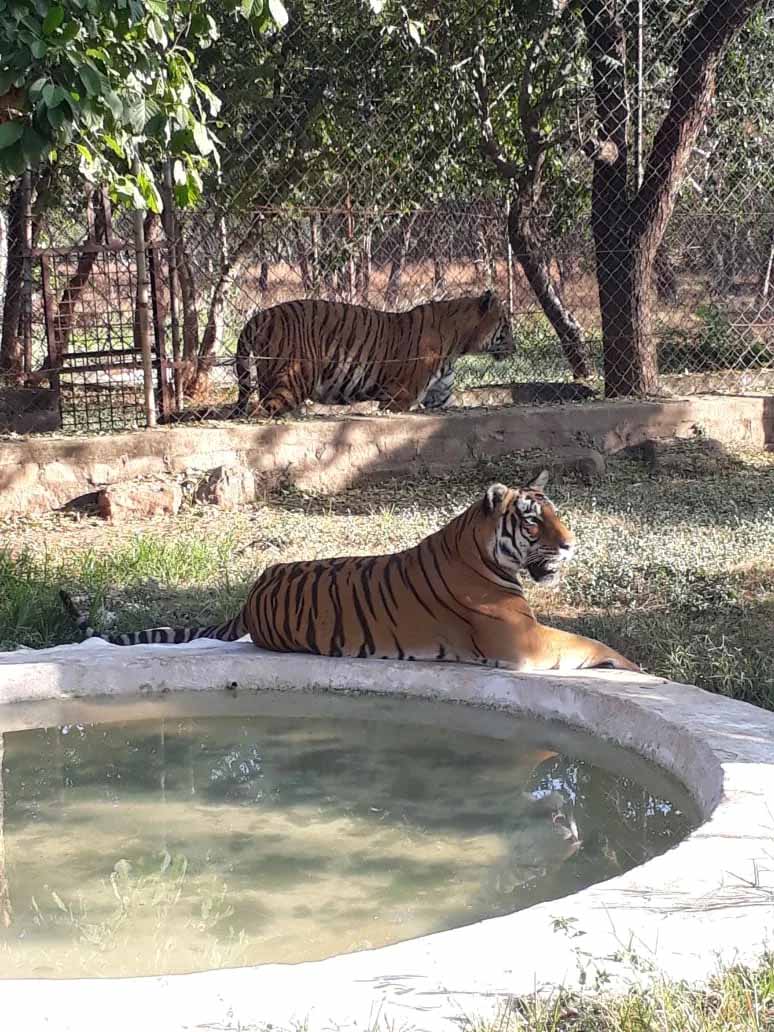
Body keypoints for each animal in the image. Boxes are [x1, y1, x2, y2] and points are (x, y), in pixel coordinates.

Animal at [60, 474, 639, 676]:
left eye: (556, 514)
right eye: (533, 519)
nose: (570, 544)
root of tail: (252, 592)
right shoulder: (523, 640)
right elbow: (590, 640)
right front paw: (630, 666)